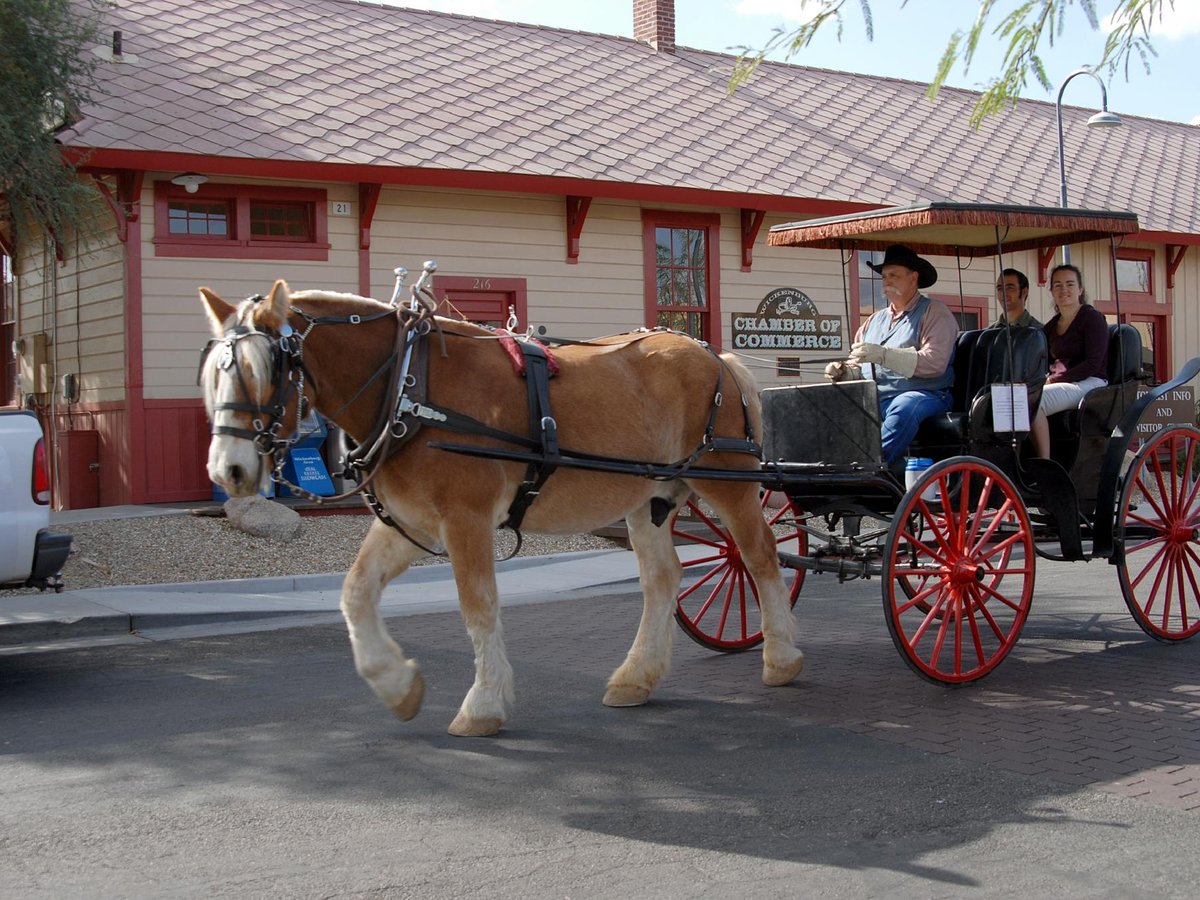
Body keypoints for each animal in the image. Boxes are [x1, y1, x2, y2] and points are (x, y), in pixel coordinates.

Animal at [199, 278, 806, 734]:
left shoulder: (465, 518)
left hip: (729, 483)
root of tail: (712, 353)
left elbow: (478, 606)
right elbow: (355, 593)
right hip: (651, 497)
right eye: (213, 374)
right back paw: (636, 677)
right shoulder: (410, 522)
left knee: (760, 556)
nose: (227, 472)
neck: (407, 384)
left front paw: (483, 705)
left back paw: (781, 660)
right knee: (664, 578)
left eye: (263, 370)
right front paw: (398, 687)